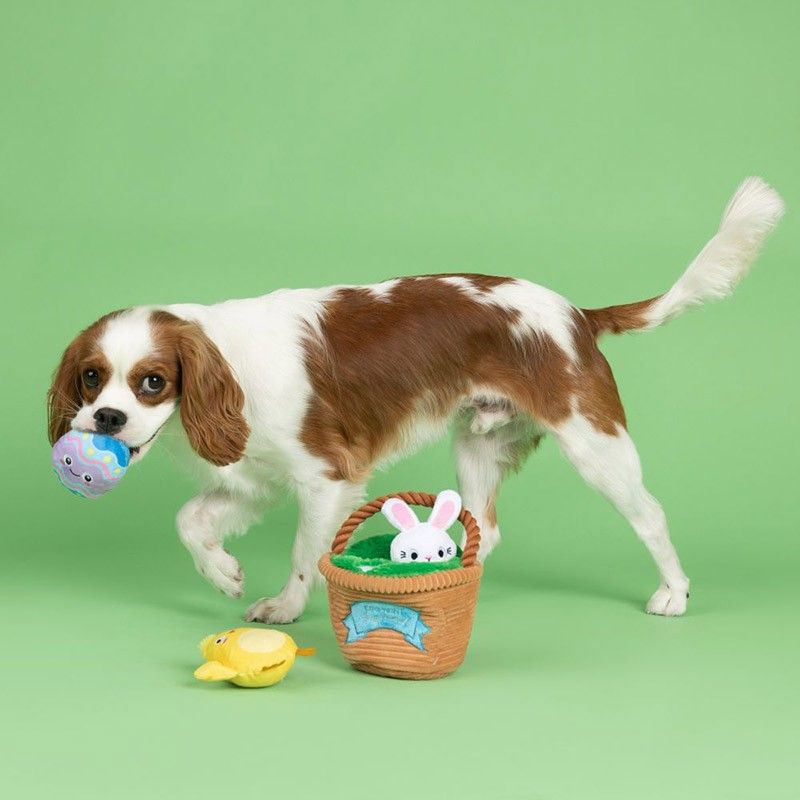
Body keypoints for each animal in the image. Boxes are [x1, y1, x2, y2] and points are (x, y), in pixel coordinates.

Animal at [48, 178, 780, 620]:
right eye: (90, 378)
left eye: (152, 381)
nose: (106, 418)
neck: (224, 359)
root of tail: (576, 313)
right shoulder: (253, 478)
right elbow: (190, 520)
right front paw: (223, 574)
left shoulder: (327, 476)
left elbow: (303, 554)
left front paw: (285, 608)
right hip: (479, 444)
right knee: (488, 527)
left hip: (595, 443)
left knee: (650, 514)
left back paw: (673, 591)